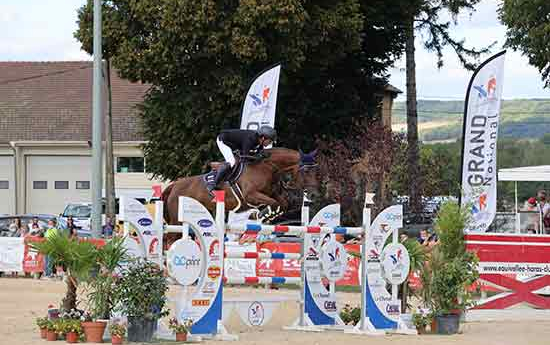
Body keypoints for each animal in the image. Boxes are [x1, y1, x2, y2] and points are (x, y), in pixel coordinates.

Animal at [162, 147, 322, 223]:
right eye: (306, 170)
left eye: (317, 170)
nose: (314, 195)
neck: (267, 167)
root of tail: (174, 185)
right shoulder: (251, 195)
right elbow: (273, 203)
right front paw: (261, 215)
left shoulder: (273, 194)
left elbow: (282, 203)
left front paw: (270, 215)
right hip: (176, 220)